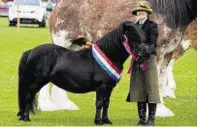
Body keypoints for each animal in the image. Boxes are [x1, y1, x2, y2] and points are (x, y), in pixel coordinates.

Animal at [17, 21, 145, 124]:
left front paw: (106, 120)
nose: (145, 51)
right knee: (28, 96)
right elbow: (99, 103)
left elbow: (106, 103)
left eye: (141, 32)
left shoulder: (109, 87)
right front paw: (98, 121)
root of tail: (31, 51)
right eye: (133, 34)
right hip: (37, 81)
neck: (108, 56)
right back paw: (26, 118)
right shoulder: (101, 86)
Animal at [47, 0, 196, 117]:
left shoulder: (167, 54)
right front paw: (158, 110)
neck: (170, 11)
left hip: (75, 45)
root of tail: (59, 4)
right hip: (62, 41)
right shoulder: (158, 52)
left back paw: (64, 104)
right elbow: (155, 81)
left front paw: (162, 110)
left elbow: (160, 81)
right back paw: (49, 106)